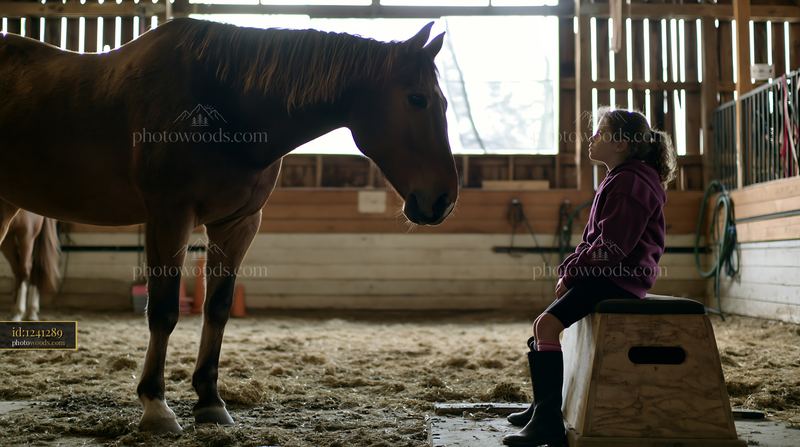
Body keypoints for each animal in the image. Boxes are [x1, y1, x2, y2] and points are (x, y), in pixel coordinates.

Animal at [0, 18, 458, 433]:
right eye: (417, 99)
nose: (443, 200)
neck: (228, 105)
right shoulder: (170, 216)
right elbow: (163, 311)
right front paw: (155, 406)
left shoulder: (238, 223)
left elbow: (217, 308)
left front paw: (209, 400)